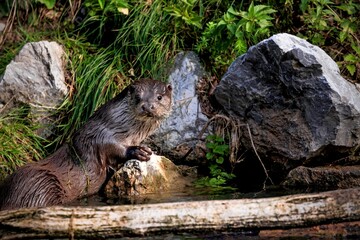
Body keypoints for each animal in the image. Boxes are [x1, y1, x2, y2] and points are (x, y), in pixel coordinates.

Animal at [0, 79, 173, 210]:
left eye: (159, 97)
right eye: (138, 97)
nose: (147, 106)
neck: (119, 125)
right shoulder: (99, 135)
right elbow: (113, 149)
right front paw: (139, 151)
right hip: (40, 186)